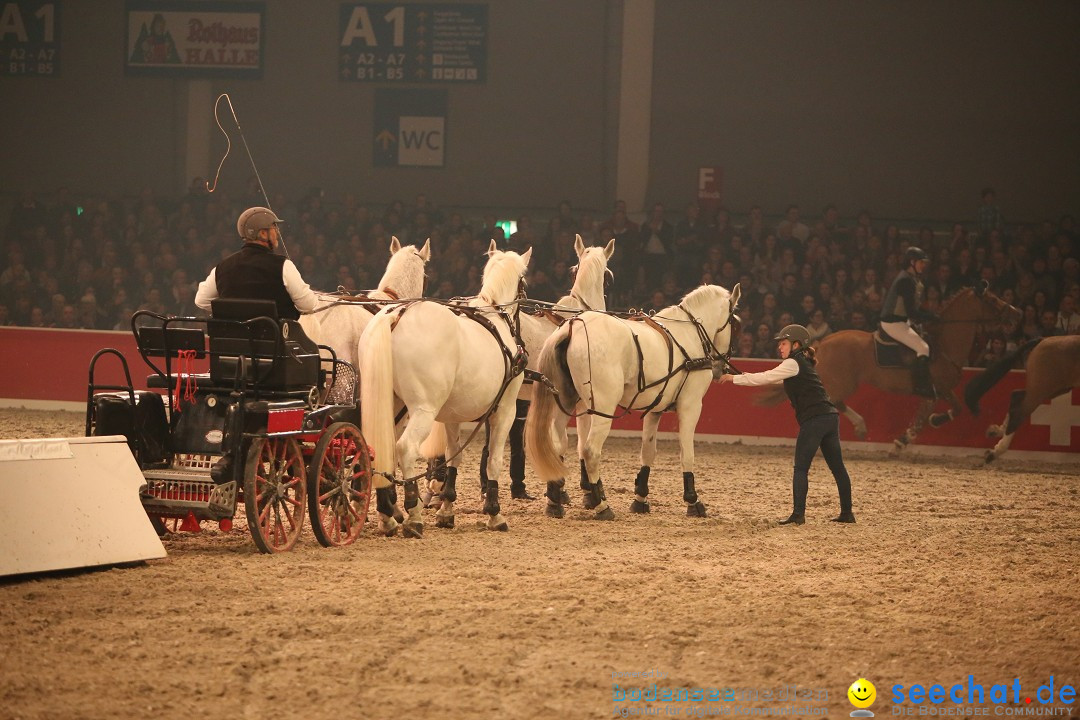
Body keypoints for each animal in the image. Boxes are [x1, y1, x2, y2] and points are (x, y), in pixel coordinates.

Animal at [360, 241, 533, 535]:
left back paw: (387, 516)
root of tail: (397, 314)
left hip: (389, 406)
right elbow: (494, 460)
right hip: (423, 410)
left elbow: (453, 457)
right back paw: (413, 516)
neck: (494, 315)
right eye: (524, 281)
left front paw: (446, 509)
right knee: (405, 448)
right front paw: (494, 513)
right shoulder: (505, 410)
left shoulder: (453, 415)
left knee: (379, 449)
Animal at [524, 280, 743, 518]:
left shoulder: (655, 409)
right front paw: (693, 501)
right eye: (735, 324)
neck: (690, 334)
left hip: (565, 402)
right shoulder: (691, 406)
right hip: (603, 408)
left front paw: (640, 498)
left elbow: (648, 452)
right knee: (590, 450)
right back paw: (601, 505)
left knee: (557, 446)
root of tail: (572, 326)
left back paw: (555, 502)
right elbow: (687, 453)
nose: (720, 368)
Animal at [760, 284, 1019, 446]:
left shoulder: (942, 389)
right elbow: (926, 414)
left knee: (835, 402)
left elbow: (954, 409)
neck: (944, 342)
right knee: (834, 400)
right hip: (844, 381)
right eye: (992, 299)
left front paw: (934, 422)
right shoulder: (933, 389)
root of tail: (824, 341)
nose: (1016, 313)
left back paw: (861, 427)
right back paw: (860, 426)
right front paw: (904, 439)